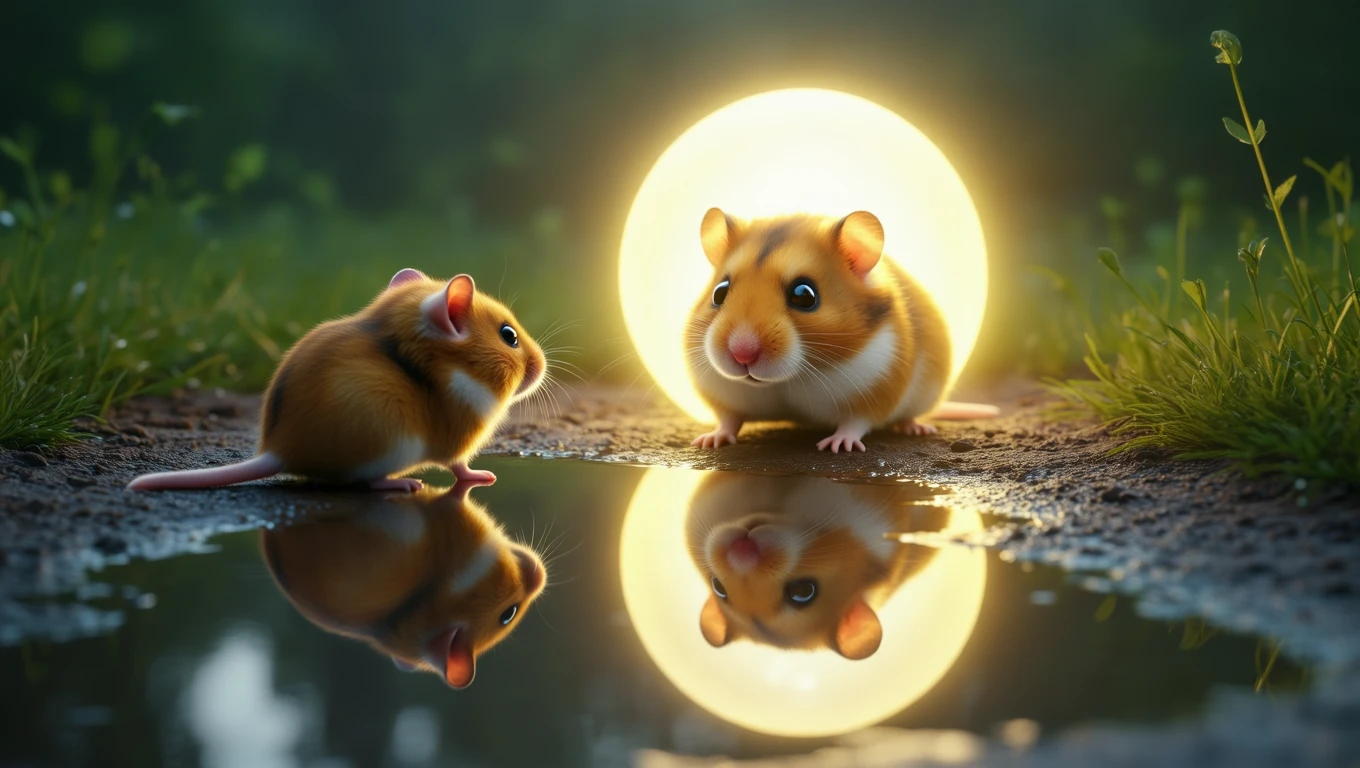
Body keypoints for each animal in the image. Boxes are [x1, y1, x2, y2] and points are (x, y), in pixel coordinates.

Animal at [128, 268, 545, 491]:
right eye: (508, 336)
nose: (542, 365)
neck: (446, 366)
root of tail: (279, 451)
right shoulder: (457, 441)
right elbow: (460, 468)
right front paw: (484, 476)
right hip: (388, 442)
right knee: (367, 482)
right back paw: (402, 484)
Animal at [685, 208, 998, 452]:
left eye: (804, 295)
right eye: (719, 292)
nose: (742, 355)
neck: (788, 380)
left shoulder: (876, 389)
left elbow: (855, 422)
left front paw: (836, 445)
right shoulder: (723, 396)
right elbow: (728, 419)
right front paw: (708, 440)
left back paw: (916, 429)